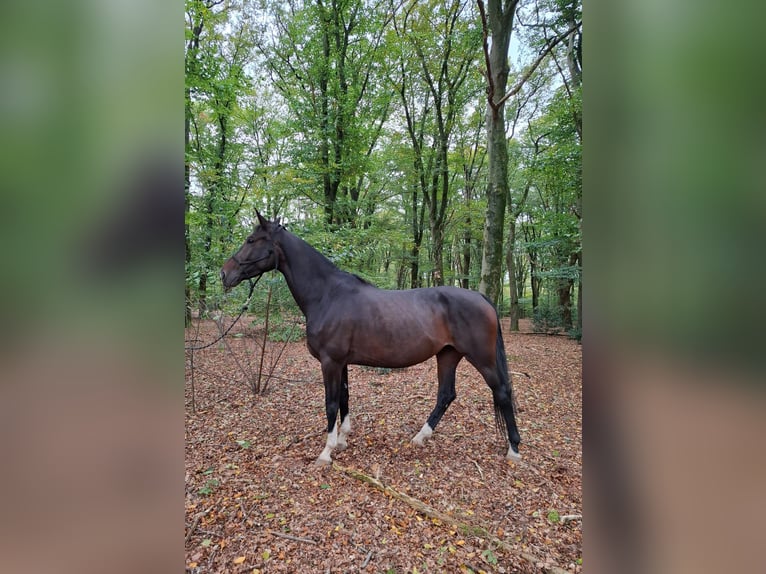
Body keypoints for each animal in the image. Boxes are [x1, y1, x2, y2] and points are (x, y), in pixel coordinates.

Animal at [219, 213, 524, 468]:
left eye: (251, 240)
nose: (224, 273)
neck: (327, 295)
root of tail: (482, 298)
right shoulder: (341, 363)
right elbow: (344, 398)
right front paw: (342, 440)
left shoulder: (330, 362)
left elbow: (331, 404)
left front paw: (326, 452)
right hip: (448, 355)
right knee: (446, 394)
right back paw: (420, 437)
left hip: (482, 359)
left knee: (502, 392)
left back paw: (513, 449)